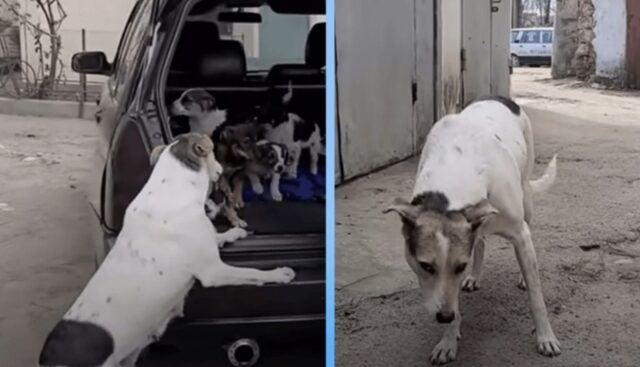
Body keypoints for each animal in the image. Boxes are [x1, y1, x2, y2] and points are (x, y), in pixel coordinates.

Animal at [40, 134, 298, 367]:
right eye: (214, 152)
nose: (223, 170)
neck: (173, 190)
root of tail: (48, 358)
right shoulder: (213, 272)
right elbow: (252, 273)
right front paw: (279, 274)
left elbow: (219, 237)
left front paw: (234, 232)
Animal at [382, 96, 556, 366]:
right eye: (425, 266)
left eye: (460, 266)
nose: (444, 317)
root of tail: (503, 98)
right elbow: (453, 295)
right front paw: (448, 339)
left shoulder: (520, 233)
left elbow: (537, 297)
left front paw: (545, 337)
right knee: (480, 240)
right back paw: (475, 276)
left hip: (526, 195)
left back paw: (522, 277)